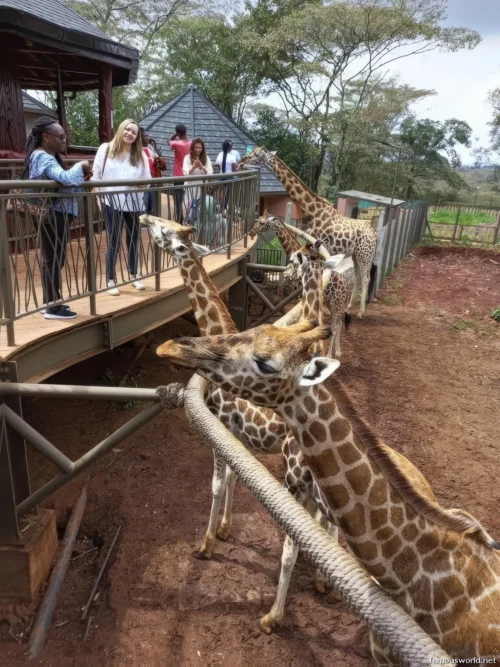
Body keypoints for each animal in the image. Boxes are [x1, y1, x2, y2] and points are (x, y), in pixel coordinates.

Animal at [240, 147, 378, 317]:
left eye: (257, 154)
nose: (242, 160)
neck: (311, 210)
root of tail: (374, 234)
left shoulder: (316, 244)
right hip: (355, 254)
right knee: (358, 277)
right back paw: (349, 307)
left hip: (365, 254)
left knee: (366, 278)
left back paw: (361, 312)